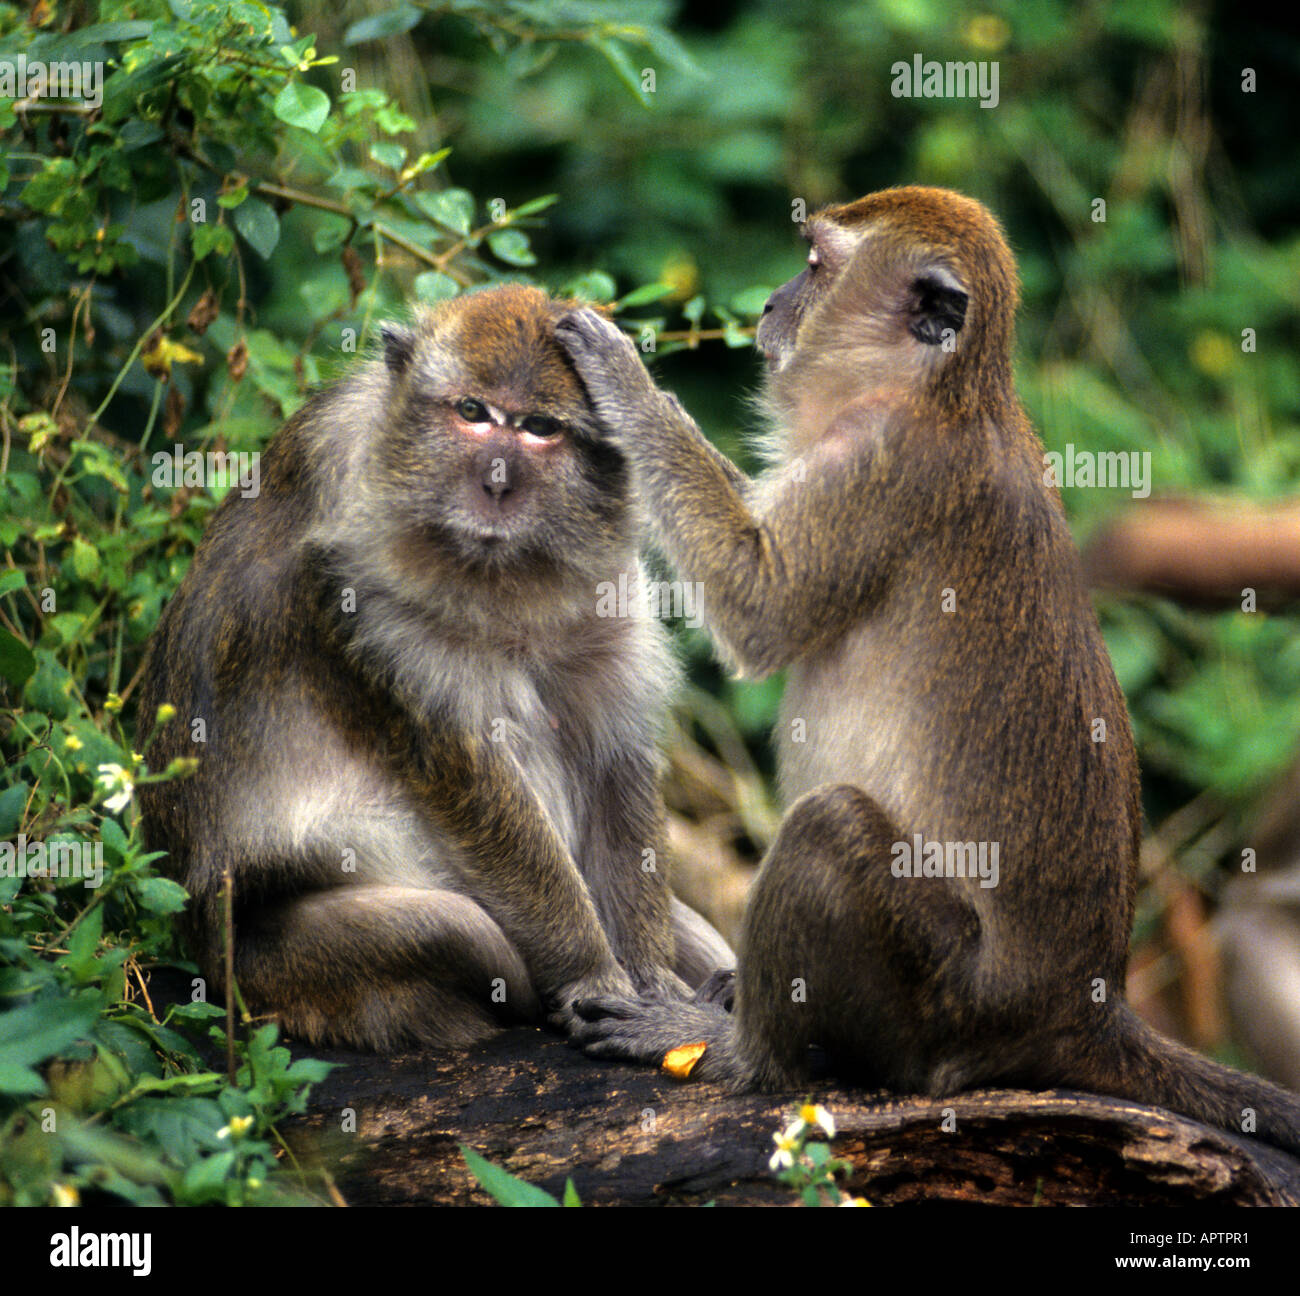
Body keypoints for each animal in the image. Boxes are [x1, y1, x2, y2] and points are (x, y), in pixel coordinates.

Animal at [136, 283, 734, 1053]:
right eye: (472, 413)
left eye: (540, 428)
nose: (497, 483)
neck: (506, 583)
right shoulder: (355, 600)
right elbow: (470, 780)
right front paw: (592, 976)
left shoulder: (606, 592)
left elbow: (614, 760)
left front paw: (655, 982)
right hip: (272, 969)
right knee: (461, 929)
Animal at [553, 186, 1300, 1158]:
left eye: (816, 264)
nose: (769, 305)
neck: (937, 391)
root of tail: (1085, 1012)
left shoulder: (878, 466)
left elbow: (761, 607)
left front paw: (623, 382)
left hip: (941, 998)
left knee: (830, 826)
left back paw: (740, 1053)